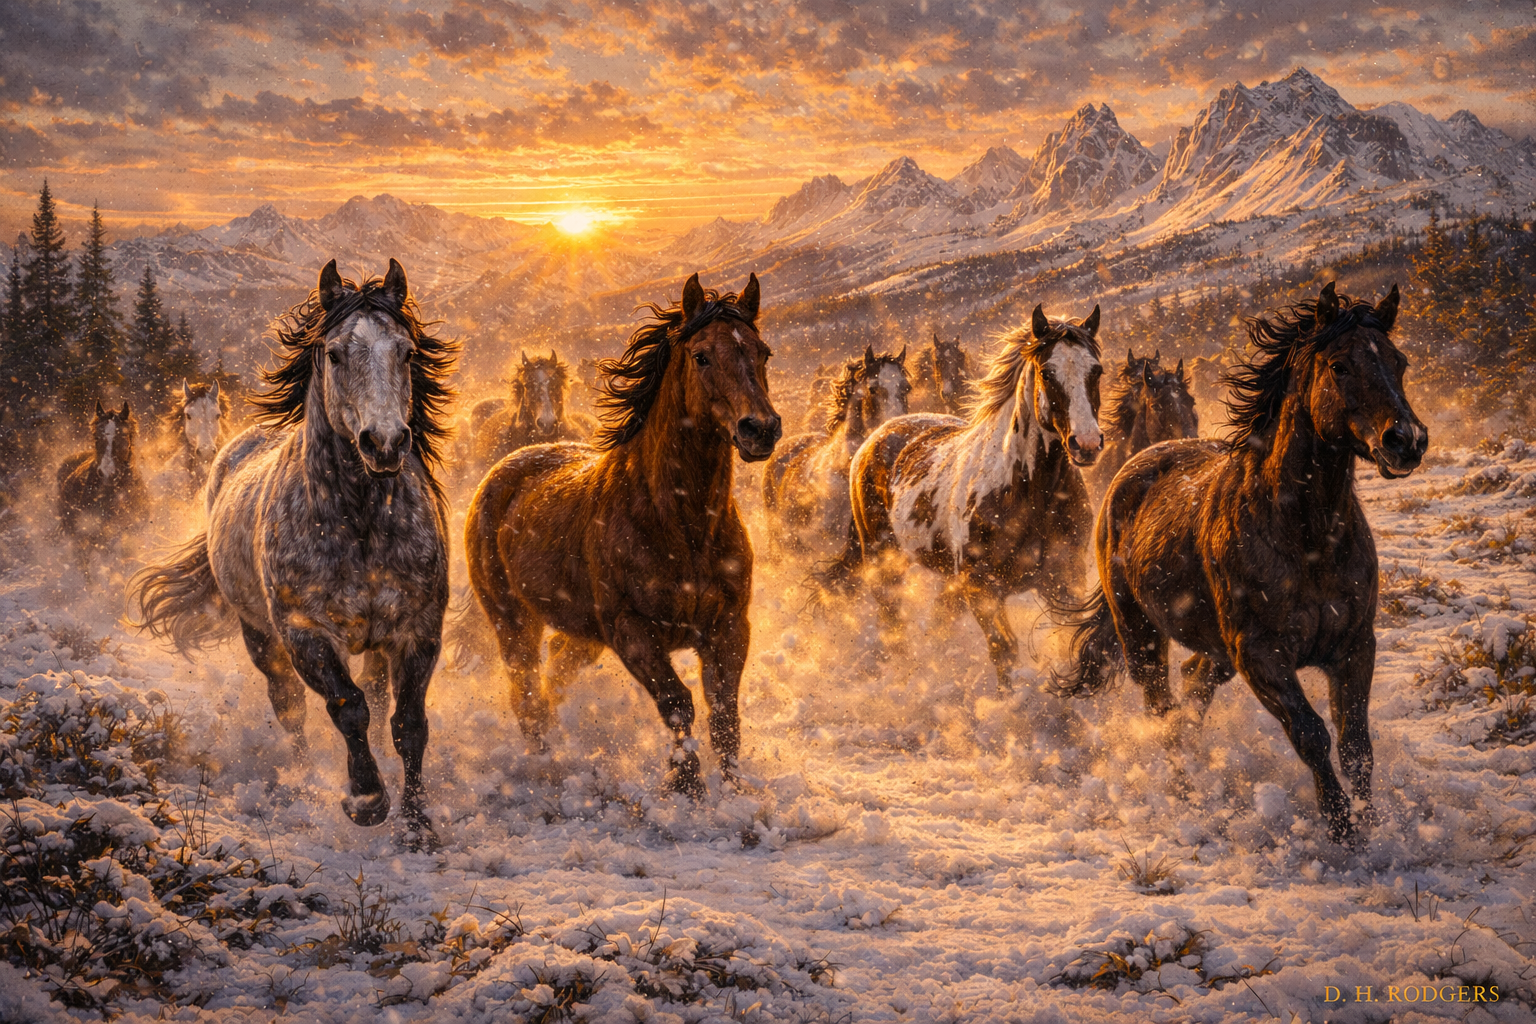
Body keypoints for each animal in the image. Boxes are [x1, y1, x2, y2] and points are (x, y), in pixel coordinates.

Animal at [131, 259, 457, 847]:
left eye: (406, 351)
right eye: (335, 353)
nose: (385, 444)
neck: (360, 526)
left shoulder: (417, 631)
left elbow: (407, 725)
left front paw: (418, 825)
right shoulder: (304, 634)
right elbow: (348, 709)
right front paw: (367, 800)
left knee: (375, 695)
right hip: (260, 637)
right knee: (290, 708)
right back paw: (303, 778)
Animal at [464, 273, 779, 797]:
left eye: (762, 352)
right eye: (702, 356)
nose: (760, 429)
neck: (680, 524)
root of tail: (502, 472)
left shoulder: (730, 628)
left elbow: (724, 718)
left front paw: (738, 797)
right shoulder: (633, 632)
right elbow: (678, 705)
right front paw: (686, 790)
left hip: (578, 636)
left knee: (553, 678)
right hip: (513, 622)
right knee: (527, 695)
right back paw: (548, 769)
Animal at [816, 304, 1104, 688]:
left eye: (1096, 370)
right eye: (1048, 371)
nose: (1086, 444)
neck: (1028, 494)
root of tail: (875, 438)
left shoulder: (1065, 582)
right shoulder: (982, 591)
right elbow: (1004, 654)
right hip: (883, 564)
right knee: (894, 626)